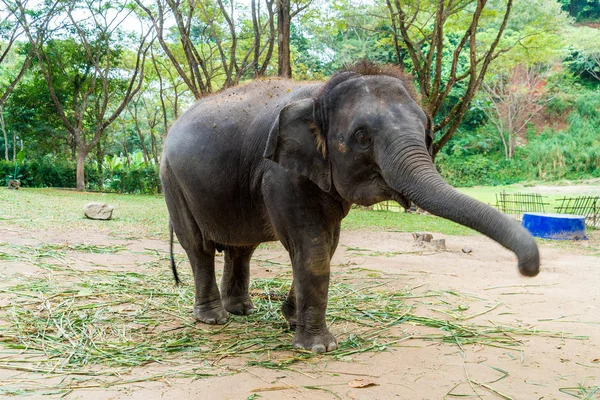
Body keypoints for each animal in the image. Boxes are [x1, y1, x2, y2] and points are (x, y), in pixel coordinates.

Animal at [161, 60, 540, 354]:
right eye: (361, 137)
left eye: (427, 132)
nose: (527, 269)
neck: (321, 92)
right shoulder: (279, 174)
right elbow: (311, 247)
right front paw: (318, 347)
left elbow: (328, 245)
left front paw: (291, 319)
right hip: (172, 180)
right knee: (198, 246)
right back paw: (213, 319)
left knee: (242, 247)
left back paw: (242, 311)